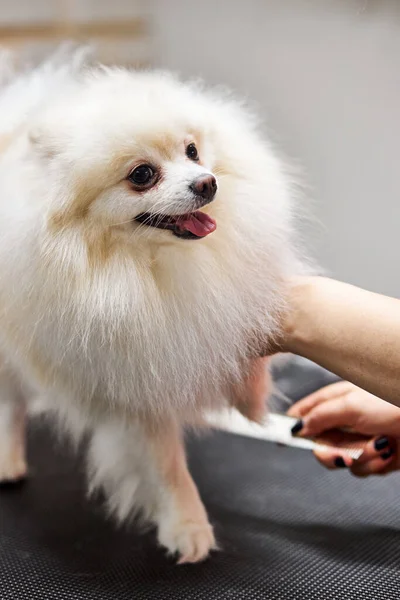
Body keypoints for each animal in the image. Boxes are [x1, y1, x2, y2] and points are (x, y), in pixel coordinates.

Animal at [0, 47, 308, 564]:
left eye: (193, 151)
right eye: (142, 175)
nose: (207, 183)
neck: (146, 266)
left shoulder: (225, 305)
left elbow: (246, 347)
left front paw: (252, 399)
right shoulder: (134, 386)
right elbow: (165, 466)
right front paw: (188, 525)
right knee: (10, 402)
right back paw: (8, 459)